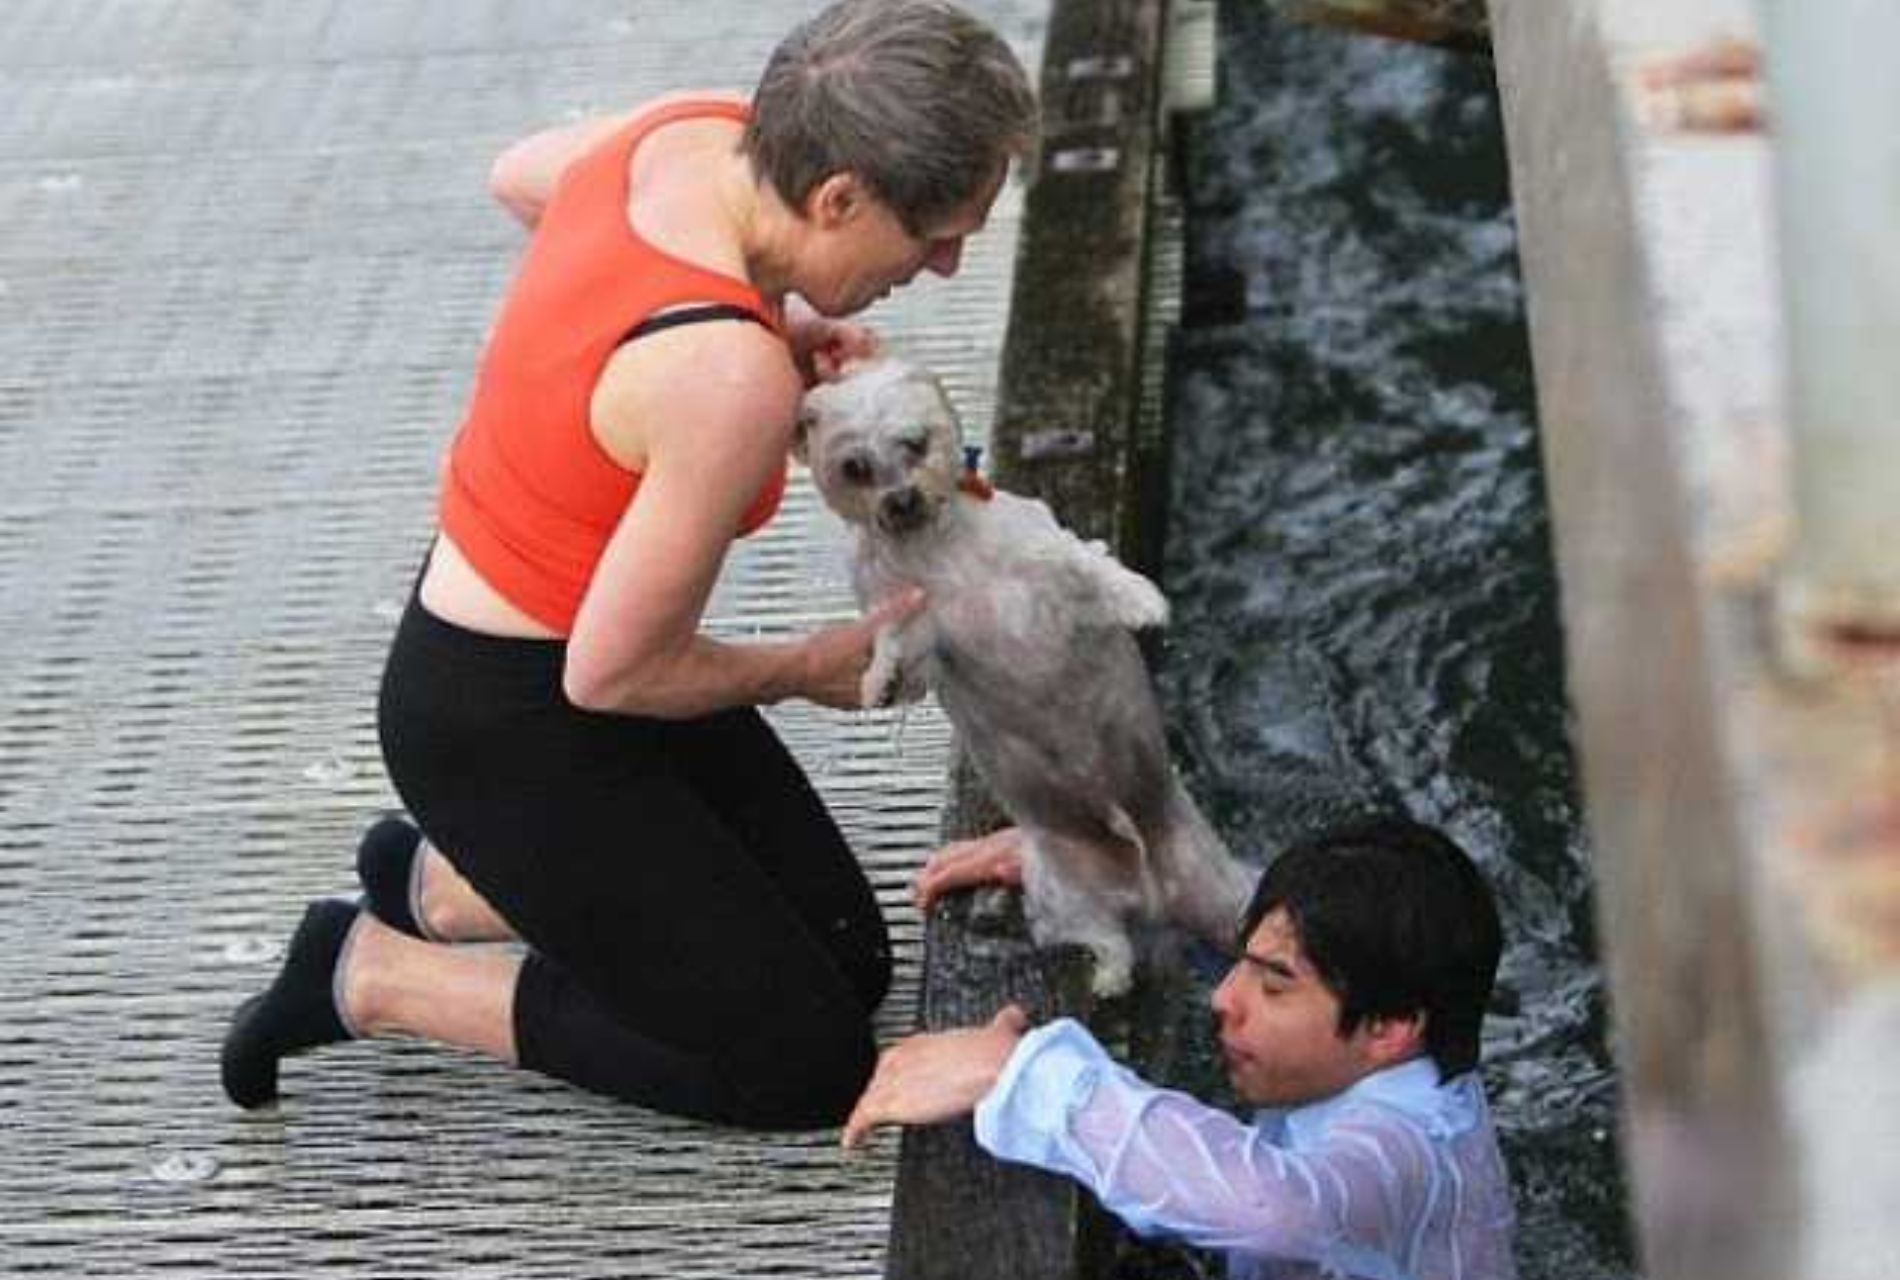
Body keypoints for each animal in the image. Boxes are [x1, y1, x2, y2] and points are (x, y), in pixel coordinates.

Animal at [794, 353, 1254, 995]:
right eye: (854, 467)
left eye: (915, 443)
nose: (901, 501)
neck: (939, 552)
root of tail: (1151, 887)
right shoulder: (914, 625)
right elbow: (898, 652)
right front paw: (878, 680)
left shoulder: (1047, 560)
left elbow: (1091, 565)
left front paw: (1140, 599)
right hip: (1066, 893)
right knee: (1104, 940)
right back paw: (1109, 976)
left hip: (1225, 896)